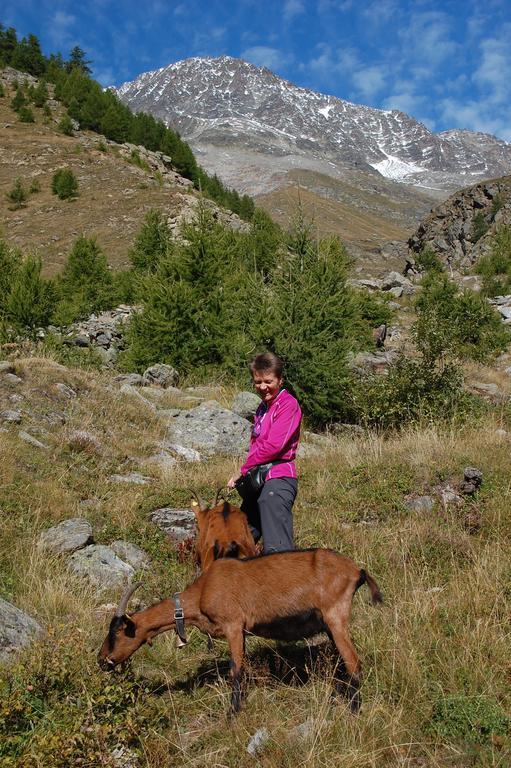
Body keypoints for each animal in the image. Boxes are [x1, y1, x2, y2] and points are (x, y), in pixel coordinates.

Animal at [98, 548, 382, 712]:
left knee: (354, 661)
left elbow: (236, 671)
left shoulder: (234, 625)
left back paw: (354, 711)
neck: (201, 593)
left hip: (336, 616)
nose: (101, 660)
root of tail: (357, 570)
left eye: (117, 632)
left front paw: (232, 715)